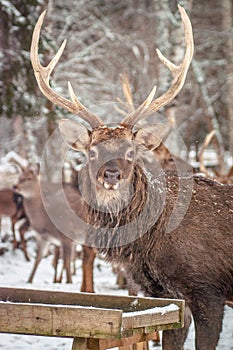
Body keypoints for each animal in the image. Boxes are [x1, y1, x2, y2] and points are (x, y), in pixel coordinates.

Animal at [30, 4, 233, 348]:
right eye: (92, 151)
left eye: (130, 151)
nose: (110, 175)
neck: (150, 241)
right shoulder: (166, 294)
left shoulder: (209, 290)